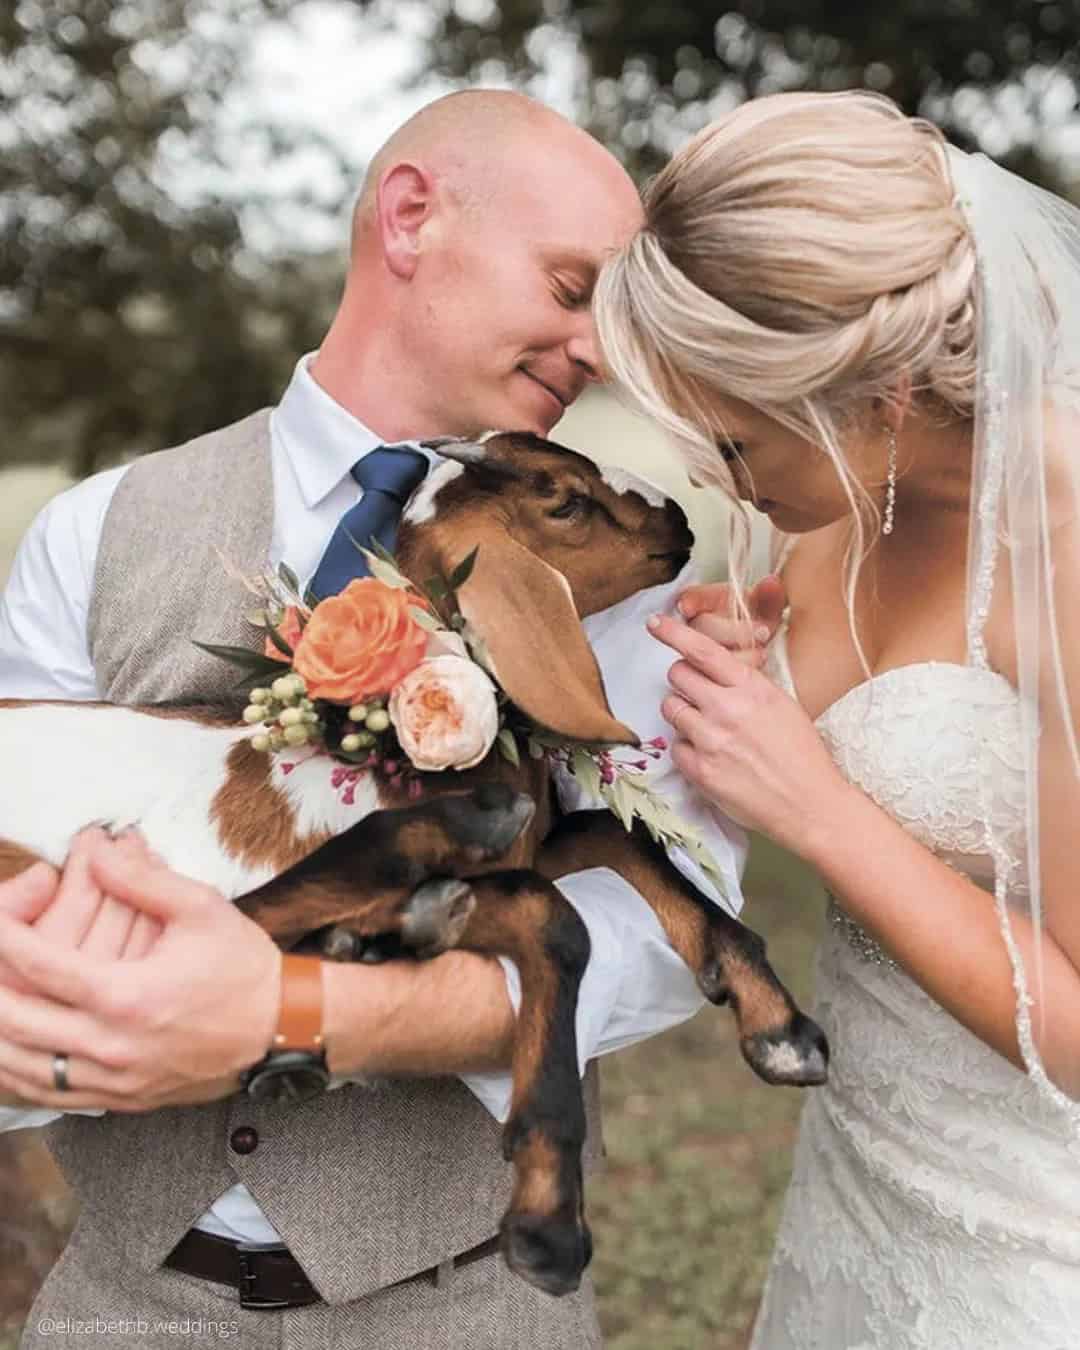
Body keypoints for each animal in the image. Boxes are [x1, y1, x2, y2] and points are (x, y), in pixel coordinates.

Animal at [0, 432, 826, 1296]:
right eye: (565, 500)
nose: (677, 518)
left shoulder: (535, 842)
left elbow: (612, 833)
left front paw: (779, 1024)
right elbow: (553, 917)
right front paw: (547, 1216)